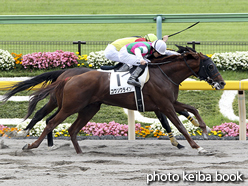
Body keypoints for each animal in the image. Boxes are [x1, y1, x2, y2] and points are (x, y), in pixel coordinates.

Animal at [22, 49, 226, 154]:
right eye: (210, 66)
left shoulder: (169, 102)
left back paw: (79, 152)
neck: (164, 74)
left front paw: (204, 128)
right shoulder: (165, 105)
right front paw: (197, 146)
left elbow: (192, 109)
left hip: (88, 108)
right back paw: (30, 145)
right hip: (70, 106)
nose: (222, 83)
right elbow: (180, 125)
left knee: (71, 128)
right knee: (51, 122)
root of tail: (69, 77)